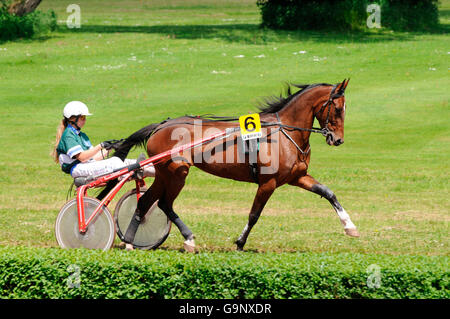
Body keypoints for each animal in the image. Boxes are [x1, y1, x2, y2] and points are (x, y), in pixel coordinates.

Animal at [115, 80, 358, 252]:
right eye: (338, 108)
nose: (338, 140)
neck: (284, 133)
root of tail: (161, 125)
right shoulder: (268, 182)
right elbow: (254, 215)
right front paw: (240, 242)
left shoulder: (297, 177)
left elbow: (329, 193)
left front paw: (350, 226)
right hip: (177, 173)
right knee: (164, 203)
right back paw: (188, 239)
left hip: (165, 174)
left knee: (146, 201)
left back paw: (130, 241)